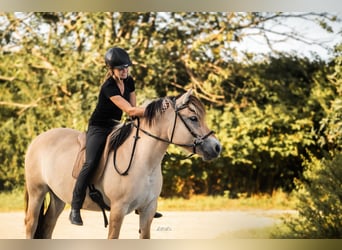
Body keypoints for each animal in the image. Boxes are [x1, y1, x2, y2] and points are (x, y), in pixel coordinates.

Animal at [24, 89, 222, 238]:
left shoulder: (148, 210)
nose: (217, 147)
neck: (143, 162)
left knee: (47, 227)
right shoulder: (118, 210)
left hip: (57, 198)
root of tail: (37, 140)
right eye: (193, 118)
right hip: (37, 192)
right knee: (31, 224)